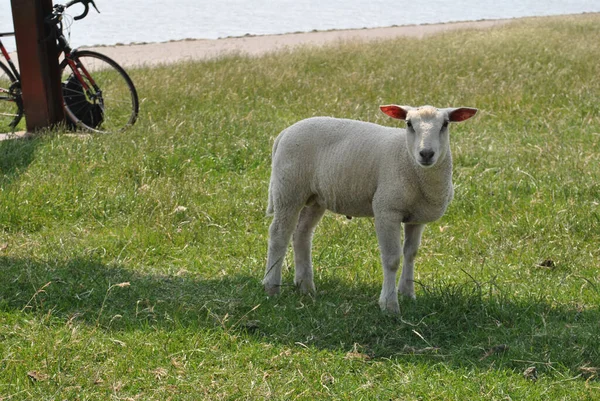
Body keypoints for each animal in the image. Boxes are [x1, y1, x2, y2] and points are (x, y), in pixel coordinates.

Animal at [262, 104, 478, 312]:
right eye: (409, 124)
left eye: (445, 124)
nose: (426, 154)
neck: (408, 159)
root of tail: (285, 132)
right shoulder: (386, 210)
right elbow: (392, 259)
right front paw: (389, 305)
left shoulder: (417, 217)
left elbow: (411, 253)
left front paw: (408, 293)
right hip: (289, 190)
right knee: (279, 234)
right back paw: (271, 286)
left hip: (316, 198)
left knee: (302, 234)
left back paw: (305, 287)